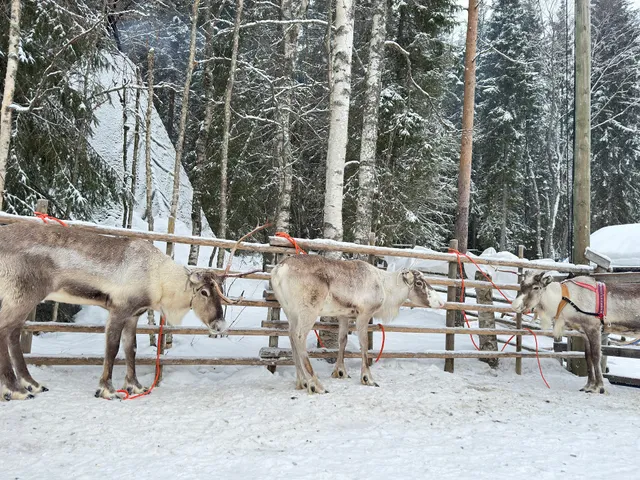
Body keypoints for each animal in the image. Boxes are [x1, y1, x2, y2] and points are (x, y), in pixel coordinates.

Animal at [0, 220, 264, 401]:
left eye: (221, 290)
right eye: (204, 292)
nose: (220, 325)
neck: (158, 282)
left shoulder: (134, 315)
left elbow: (131, 349)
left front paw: (134, 386)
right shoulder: (119, 309)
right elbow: (112, 348)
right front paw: (106, 390)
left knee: (13, 333)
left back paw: (32, 384)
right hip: (22, 294)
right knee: (5, 331)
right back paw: (15, 389)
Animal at [270, 254, 445, 394]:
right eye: (419, 283)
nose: (441, 302)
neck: (386, 289)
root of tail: (278, 270)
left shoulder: (344, 315)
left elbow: (343, 340)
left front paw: (340, 372)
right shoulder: (364, 313)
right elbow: (364, 343)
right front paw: (367, 378)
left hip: (290, 311)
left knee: (291, 336)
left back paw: (301, 381)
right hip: (308, 310)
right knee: (299, 337)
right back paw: (315, 384)